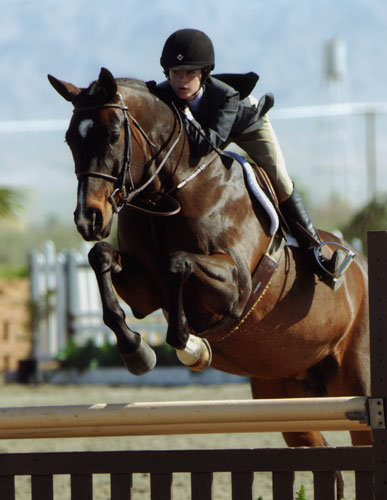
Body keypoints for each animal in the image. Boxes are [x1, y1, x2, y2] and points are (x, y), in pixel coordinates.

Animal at [49, 68, 372, 498]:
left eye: (114, 134)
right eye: (71, 138)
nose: (90, 219)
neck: (168, 191)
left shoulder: (236, 289)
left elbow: (178, 264)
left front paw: (191, 347)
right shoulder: (143, 290)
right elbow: (101, 258)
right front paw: (137, 351)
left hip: (355, 380)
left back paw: (326, 261)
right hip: (287, 397)